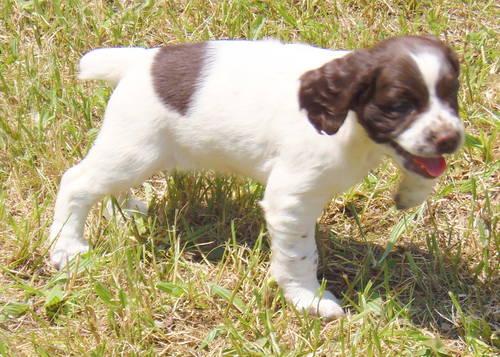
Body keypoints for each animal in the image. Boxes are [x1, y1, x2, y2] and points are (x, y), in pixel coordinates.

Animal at [48, 35, 462, 318]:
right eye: (400, 105)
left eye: (451, 95)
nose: (451, 138)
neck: (348, 125)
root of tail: (141, 60)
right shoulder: (291, 197)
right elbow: (300, 255)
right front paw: (310, 300)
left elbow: (421, 167)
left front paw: (410, 194)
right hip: (136, 148)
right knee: (76, 182)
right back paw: (65, 247)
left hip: (135, 150)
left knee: (108, 185)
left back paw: (128, 210)